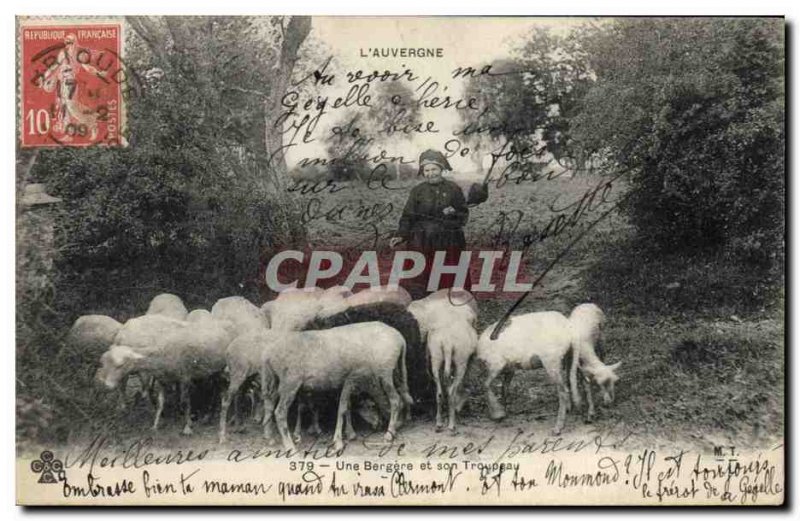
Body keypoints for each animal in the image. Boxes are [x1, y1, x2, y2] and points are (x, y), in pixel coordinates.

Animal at [96, 318, 234, 432]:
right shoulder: (162, 379)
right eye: (104, 364)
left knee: (217, 391)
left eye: (120, 365)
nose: (106, 385)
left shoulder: (185, 378)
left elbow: (185, 402)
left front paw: (187, 427)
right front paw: (155, 425)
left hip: (220, 369)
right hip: (213, 371)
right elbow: (160, 402)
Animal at [260, 320, 416, 450]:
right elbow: (342, 409)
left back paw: (270, 438)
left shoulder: (345, 384)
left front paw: (350, 434)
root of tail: (400, 338)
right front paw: (338, 441)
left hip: (275, 382)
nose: (378, 425)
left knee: (269, 406)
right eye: (371, 406)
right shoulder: (350, 380)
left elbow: (347, 407)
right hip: (290, 383)